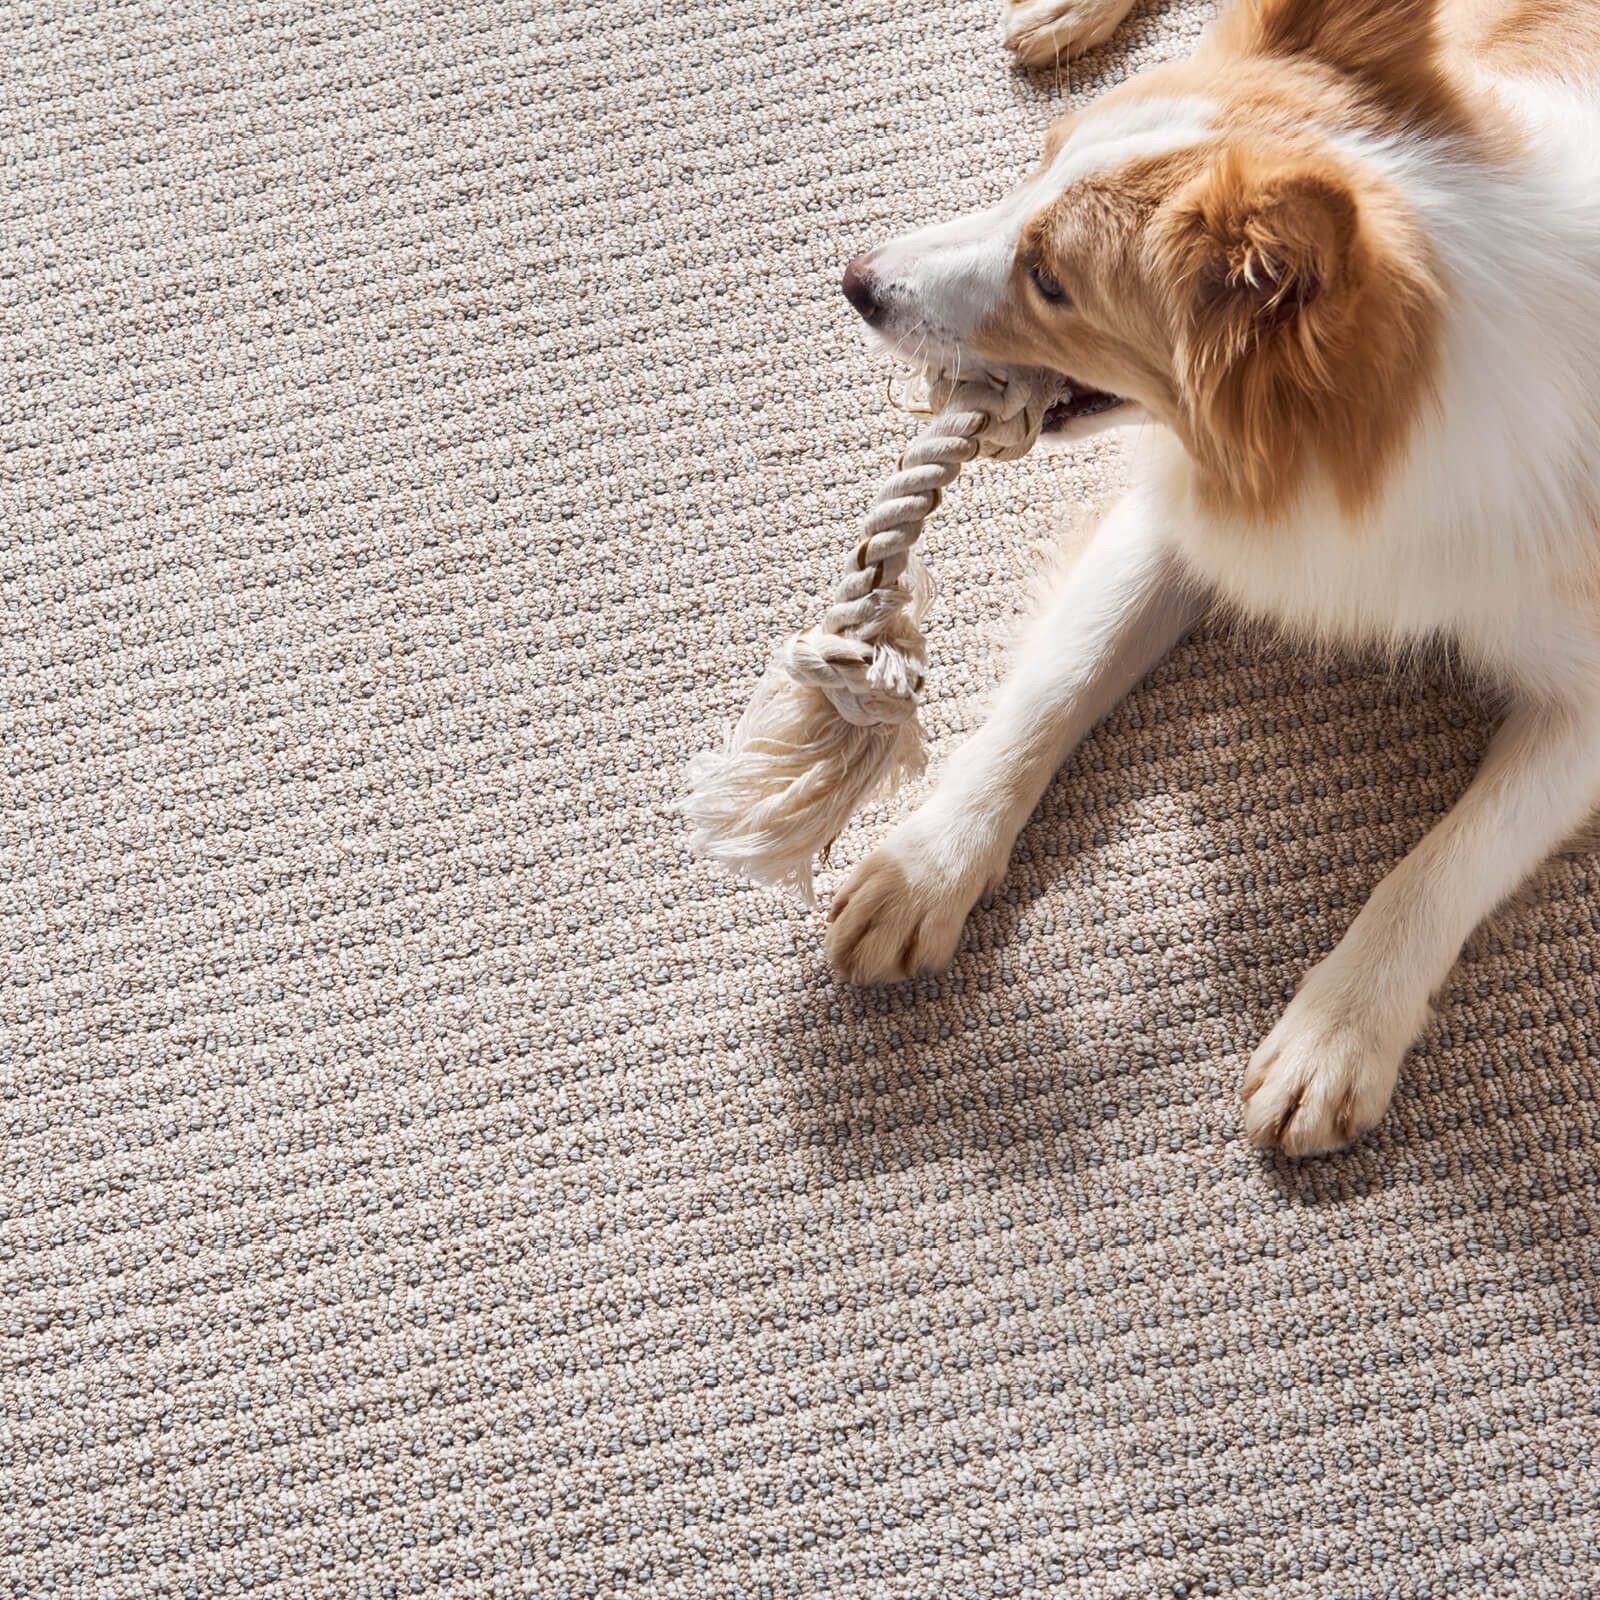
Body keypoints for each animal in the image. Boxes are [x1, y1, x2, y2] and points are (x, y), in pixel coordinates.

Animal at [825, 0, 1600, 1152]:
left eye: (1051, 282)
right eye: (1036, 164)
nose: (858, 279)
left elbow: (1452, 855)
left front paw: (1336, 1034)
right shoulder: (1185, 517)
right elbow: (1057, 684)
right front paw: (926, 868)